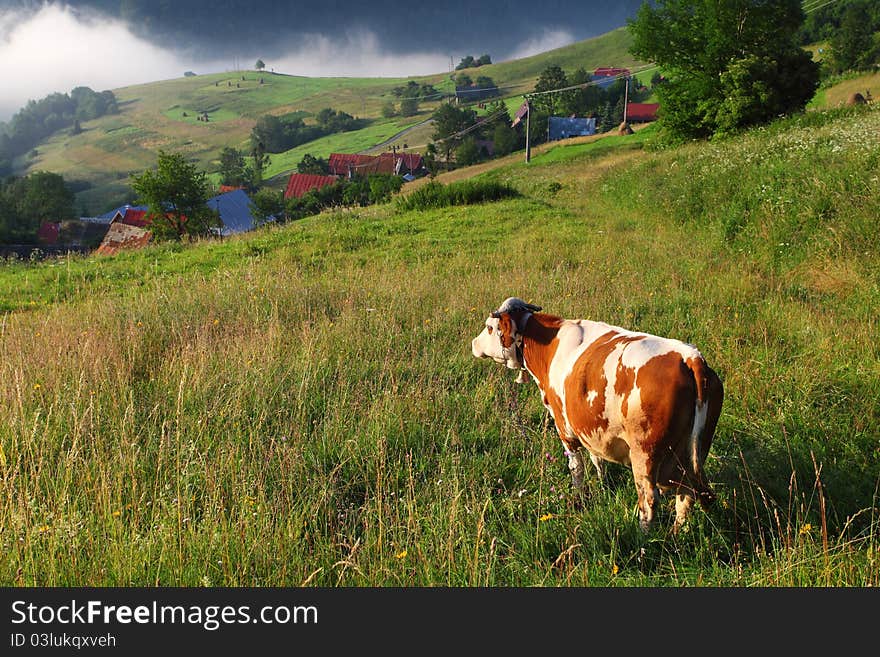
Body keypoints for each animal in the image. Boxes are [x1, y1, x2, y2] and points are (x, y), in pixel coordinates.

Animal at [470, 298, 724, 532]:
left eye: (489, 327)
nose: (473, 343)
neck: (549, 345)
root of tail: (690, 356)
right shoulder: (589, 425)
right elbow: (597, 458)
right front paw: (602, 484)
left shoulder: (565, 427)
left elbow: (576, 468)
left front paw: (578, 497)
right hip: (693, 451)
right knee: (686, 495)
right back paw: (677, 533)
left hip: (645, 454)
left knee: (650, 500)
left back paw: (643, 539)